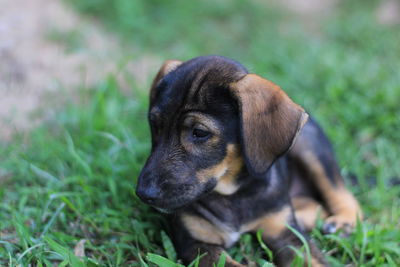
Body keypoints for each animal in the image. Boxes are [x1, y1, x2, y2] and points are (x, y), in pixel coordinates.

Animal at [135, 56, 362, 267]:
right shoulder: (197, 243)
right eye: (154, 125)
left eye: (199, 132)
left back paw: (343, 222)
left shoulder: (286, 234)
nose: (144, 194)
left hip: (310, 147)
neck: (233, 192)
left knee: (340, 191)